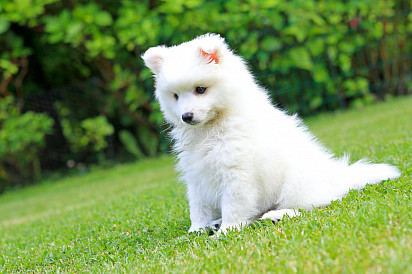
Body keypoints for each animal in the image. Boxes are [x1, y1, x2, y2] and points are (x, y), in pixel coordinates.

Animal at [142, 33, 400, 235]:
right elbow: (198, 205)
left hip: (297, 180)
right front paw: (197, 229)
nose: (186, 116)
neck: (214, 125)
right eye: (175, 96)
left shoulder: (237, 172)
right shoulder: (196, 174)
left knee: (312, 204)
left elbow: (233, 204)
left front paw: (228, 230)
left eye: (201, 89)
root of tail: (336, 176)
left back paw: (277, 214)